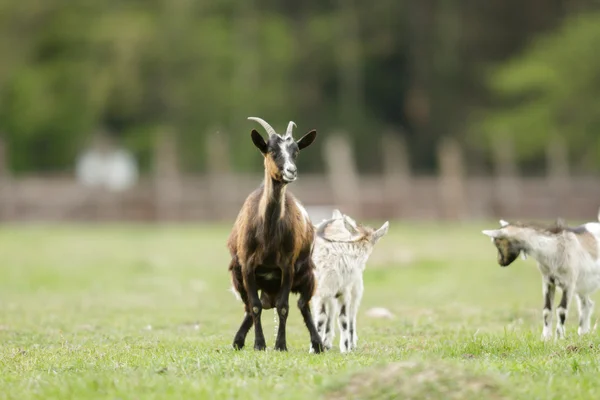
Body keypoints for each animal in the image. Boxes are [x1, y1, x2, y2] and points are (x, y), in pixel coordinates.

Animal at [229, 116, 324, 354]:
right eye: (271, 150)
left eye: (295, 151)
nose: (291, 171)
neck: (268, 237)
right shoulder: (247, 266)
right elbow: (254, 307)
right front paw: (259, 344)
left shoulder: (287, 266)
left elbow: (283, 307)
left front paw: (280, 345)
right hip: (237, 276)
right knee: (251, 305)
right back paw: (238, 341)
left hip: (308, 275)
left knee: (302, 304)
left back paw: (318, 343)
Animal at [310, 209, 390, 354]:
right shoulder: (320, 291)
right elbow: (321, 318)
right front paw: (315, 349)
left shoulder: (344, 290)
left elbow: (343, 319)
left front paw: (345, 348)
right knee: (333, 311)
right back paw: (327, 343)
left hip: (354, 287)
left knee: (351, 314)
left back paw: (348, 344)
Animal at [480, 209, 600, 340]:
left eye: (497, 243)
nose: (500, 262)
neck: (552, 249)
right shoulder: (548, 281)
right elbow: (547, 310)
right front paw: (545, 338)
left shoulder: (569, 283)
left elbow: (561, 310)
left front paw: (559, 337)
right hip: (582, 285)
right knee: (586, 305)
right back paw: (583, 333)